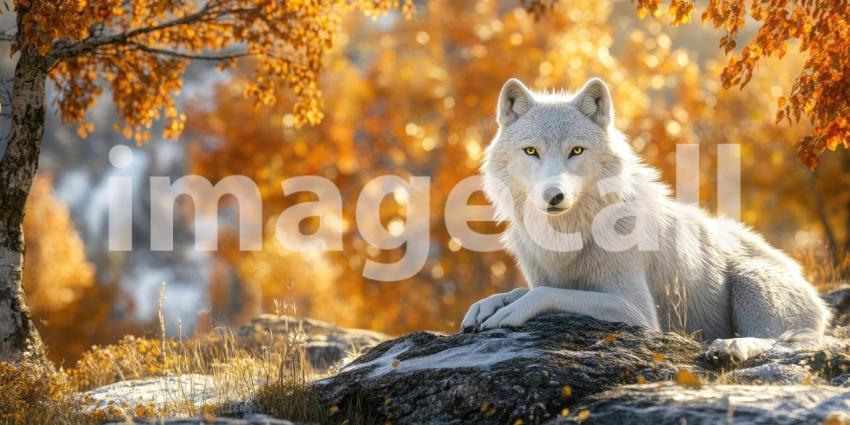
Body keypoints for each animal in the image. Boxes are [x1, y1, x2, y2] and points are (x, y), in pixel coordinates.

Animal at [461, 77, 830, 362]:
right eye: (531, 151)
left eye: (576, 151)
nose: (554, 196)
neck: (569, 234)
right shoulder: (543, 275)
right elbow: (523, 289)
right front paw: (485, 306)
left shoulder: (638, 312)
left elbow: (544, 294)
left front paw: (509, 312)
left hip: (749, 278)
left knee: (782, 340)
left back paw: (729, 347)